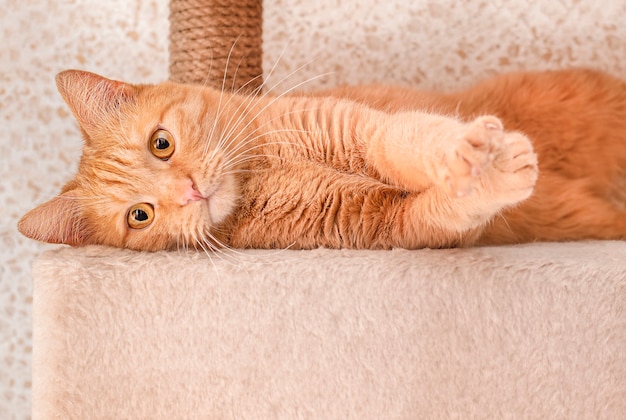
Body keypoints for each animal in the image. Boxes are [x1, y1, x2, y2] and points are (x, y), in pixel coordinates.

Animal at [17, 68, 620, 249]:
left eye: (160, 143)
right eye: (139, 215)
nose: (188, 192)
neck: (261, 171)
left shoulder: (362, 130)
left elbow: (409, 140)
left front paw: (467, 152)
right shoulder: (392, 225)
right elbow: (445, 209)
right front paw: (484, 177)